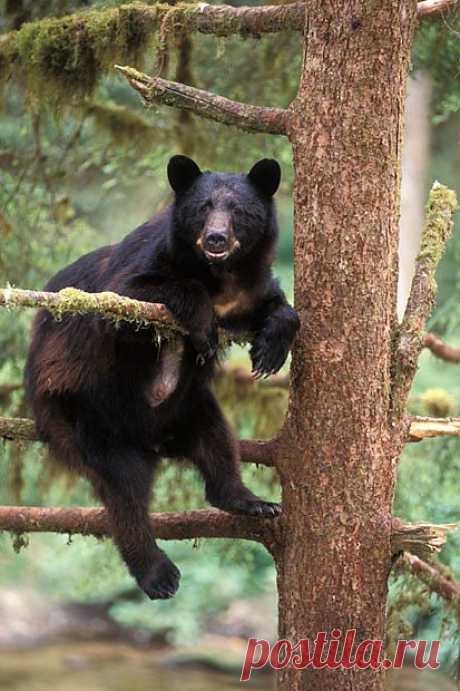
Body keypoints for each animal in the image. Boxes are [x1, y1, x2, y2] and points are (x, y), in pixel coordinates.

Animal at [25, 157, 298, 600]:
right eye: (203, 207)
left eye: (239, 210)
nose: (217, 238)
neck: (219, 274)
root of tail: (151, 440)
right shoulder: (141, 267)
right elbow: (127, 302)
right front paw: (202, 327)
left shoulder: (249, 288)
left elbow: (276, 305)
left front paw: (271, 348)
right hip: (84, 417)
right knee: (124, 493)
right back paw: (157, 572)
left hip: (191, 406)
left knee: (217, 441)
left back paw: (250, 500)